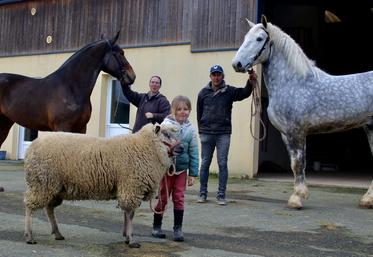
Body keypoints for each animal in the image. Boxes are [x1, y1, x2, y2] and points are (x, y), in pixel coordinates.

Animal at [0, 31, 135, 146]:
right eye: (121, 53)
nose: (132, 76)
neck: (71, 86)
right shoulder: (63, 128)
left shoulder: (81, 128)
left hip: (5, 123)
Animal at [23, 123, 180, 247]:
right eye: (166, 134)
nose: (181, 148)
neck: (146, 146)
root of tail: (30, 148)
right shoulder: (131, 186)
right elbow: (130, 213)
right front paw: (131, 239)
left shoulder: (128, 187)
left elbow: (128, 213)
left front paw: (126, 236)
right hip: (41, 183)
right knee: (30, 206)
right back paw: (30, 235)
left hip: (55, 188)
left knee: (49, 208)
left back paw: (57, 233)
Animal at [232, 15, 372, 208]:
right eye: (245, 37)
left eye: (259, 39)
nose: (236, 64)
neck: (293, 82)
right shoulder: (286, 134)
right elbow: (293, 163)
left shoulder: (296, 131)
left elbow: (298, 163)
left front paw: (297, 198)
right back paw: (367, 200)